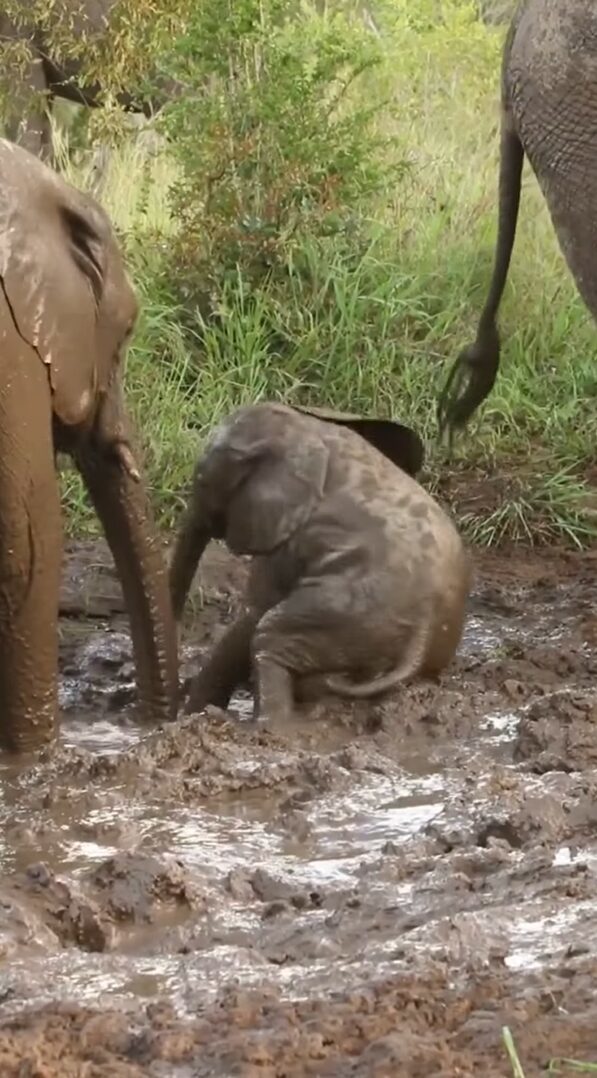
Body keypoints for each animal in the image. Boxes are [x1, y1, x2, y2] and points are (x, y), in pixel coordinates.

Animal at [168, 405, 469, 724]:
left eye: (202, 481)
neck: (305, 427)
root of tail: (422, 637)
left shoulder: (290, 536)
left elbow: (254, 612)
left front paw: (193, 712)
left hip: (346, 611)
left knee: (268, 635)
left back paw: (265, 726)